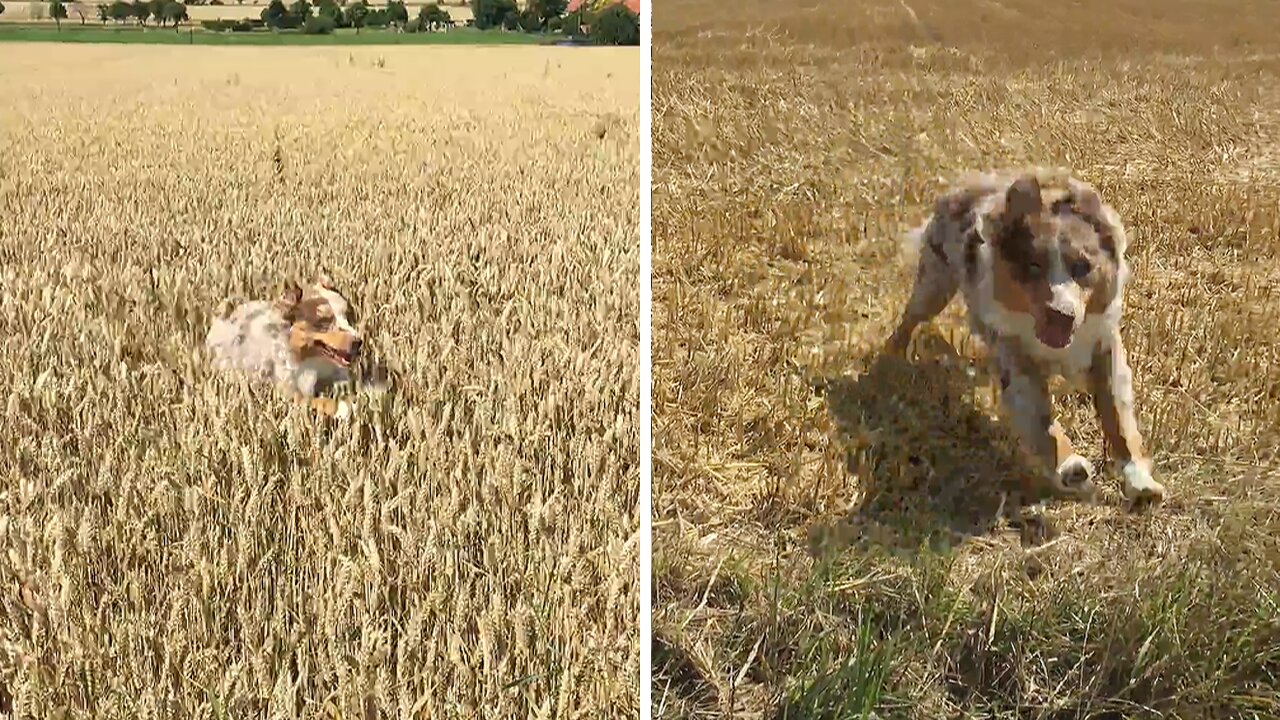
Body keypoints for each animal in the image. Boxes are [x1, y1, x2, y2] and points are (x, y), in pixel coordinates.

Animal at [204, 272, 366, 417]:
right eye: (323, 322)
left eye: (348, 315)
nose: (358, 342)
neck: (313, 359)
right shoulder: (291, 392)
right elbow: (314, 401)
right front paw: (342, 408)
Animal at [885, 167, 1167, 504]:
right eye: (1033, 266)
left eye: (1083, 266)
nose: (1061, 314)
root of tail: (966, 183)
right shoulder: (1016, 360)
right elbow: (1041, 420)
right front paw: (1070, 466)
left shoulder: (1105, 348)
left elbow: (1118, 417)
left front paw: (1139, 481)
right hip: (934, 285)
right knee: (910, 318)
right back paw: (892, 356)